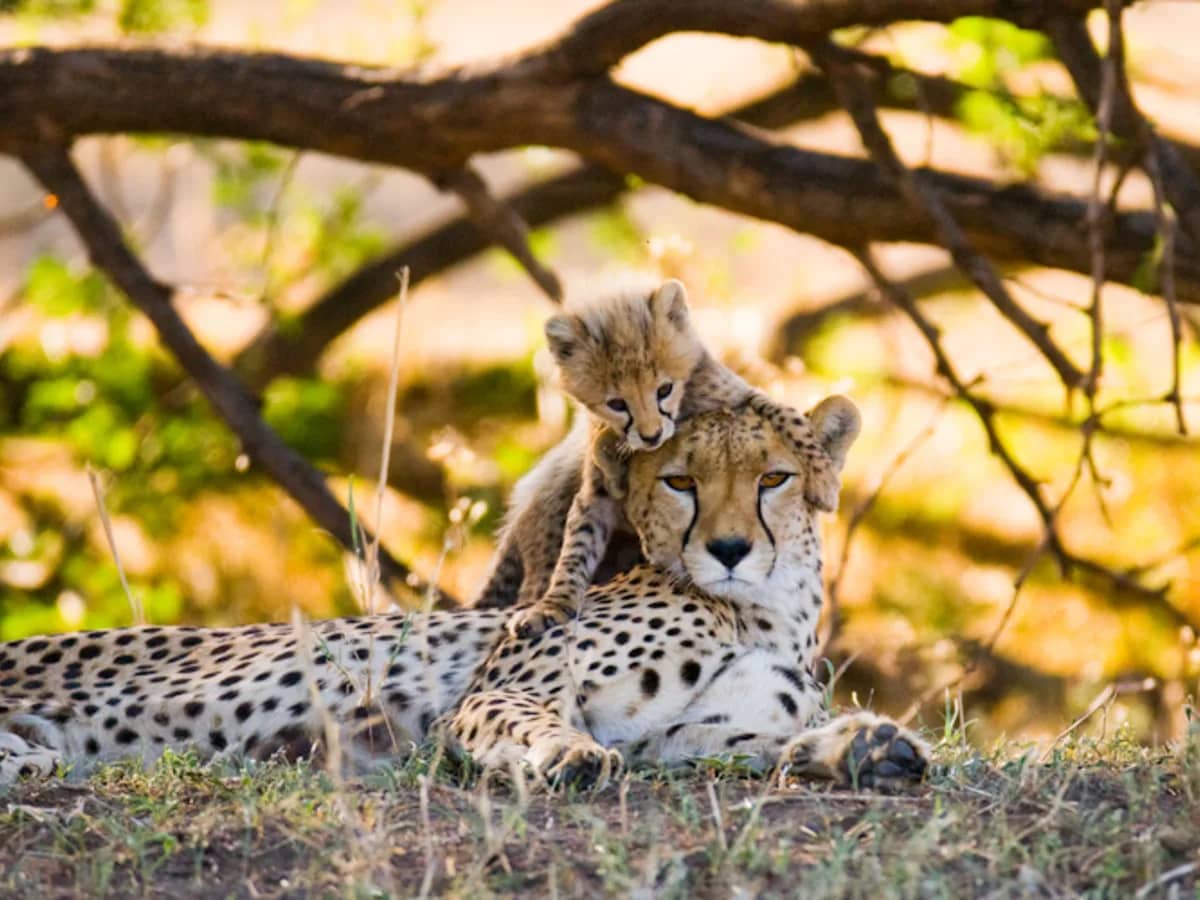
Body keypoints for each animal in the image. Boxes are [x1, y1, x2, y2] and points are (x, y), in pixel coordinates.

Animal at [0, 400, 926, 792]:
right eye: (680, 482)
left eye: (772, 478)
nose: (730, 549)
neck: (763, 609)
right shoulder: (498, 690)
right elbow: (530, 721)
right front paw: (564, 755)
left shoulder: (682, 737)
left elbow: (754, 745)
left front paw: (865, 747)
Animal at [475, 276, 847, 642]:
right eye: (617, 403)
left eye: (664, 389)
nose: (651, 435)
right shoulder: (597, 491)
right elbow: (576, 547)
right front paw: (554, 604)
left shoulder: (740, 396)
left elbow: (786, 417)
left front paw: (823, 480)